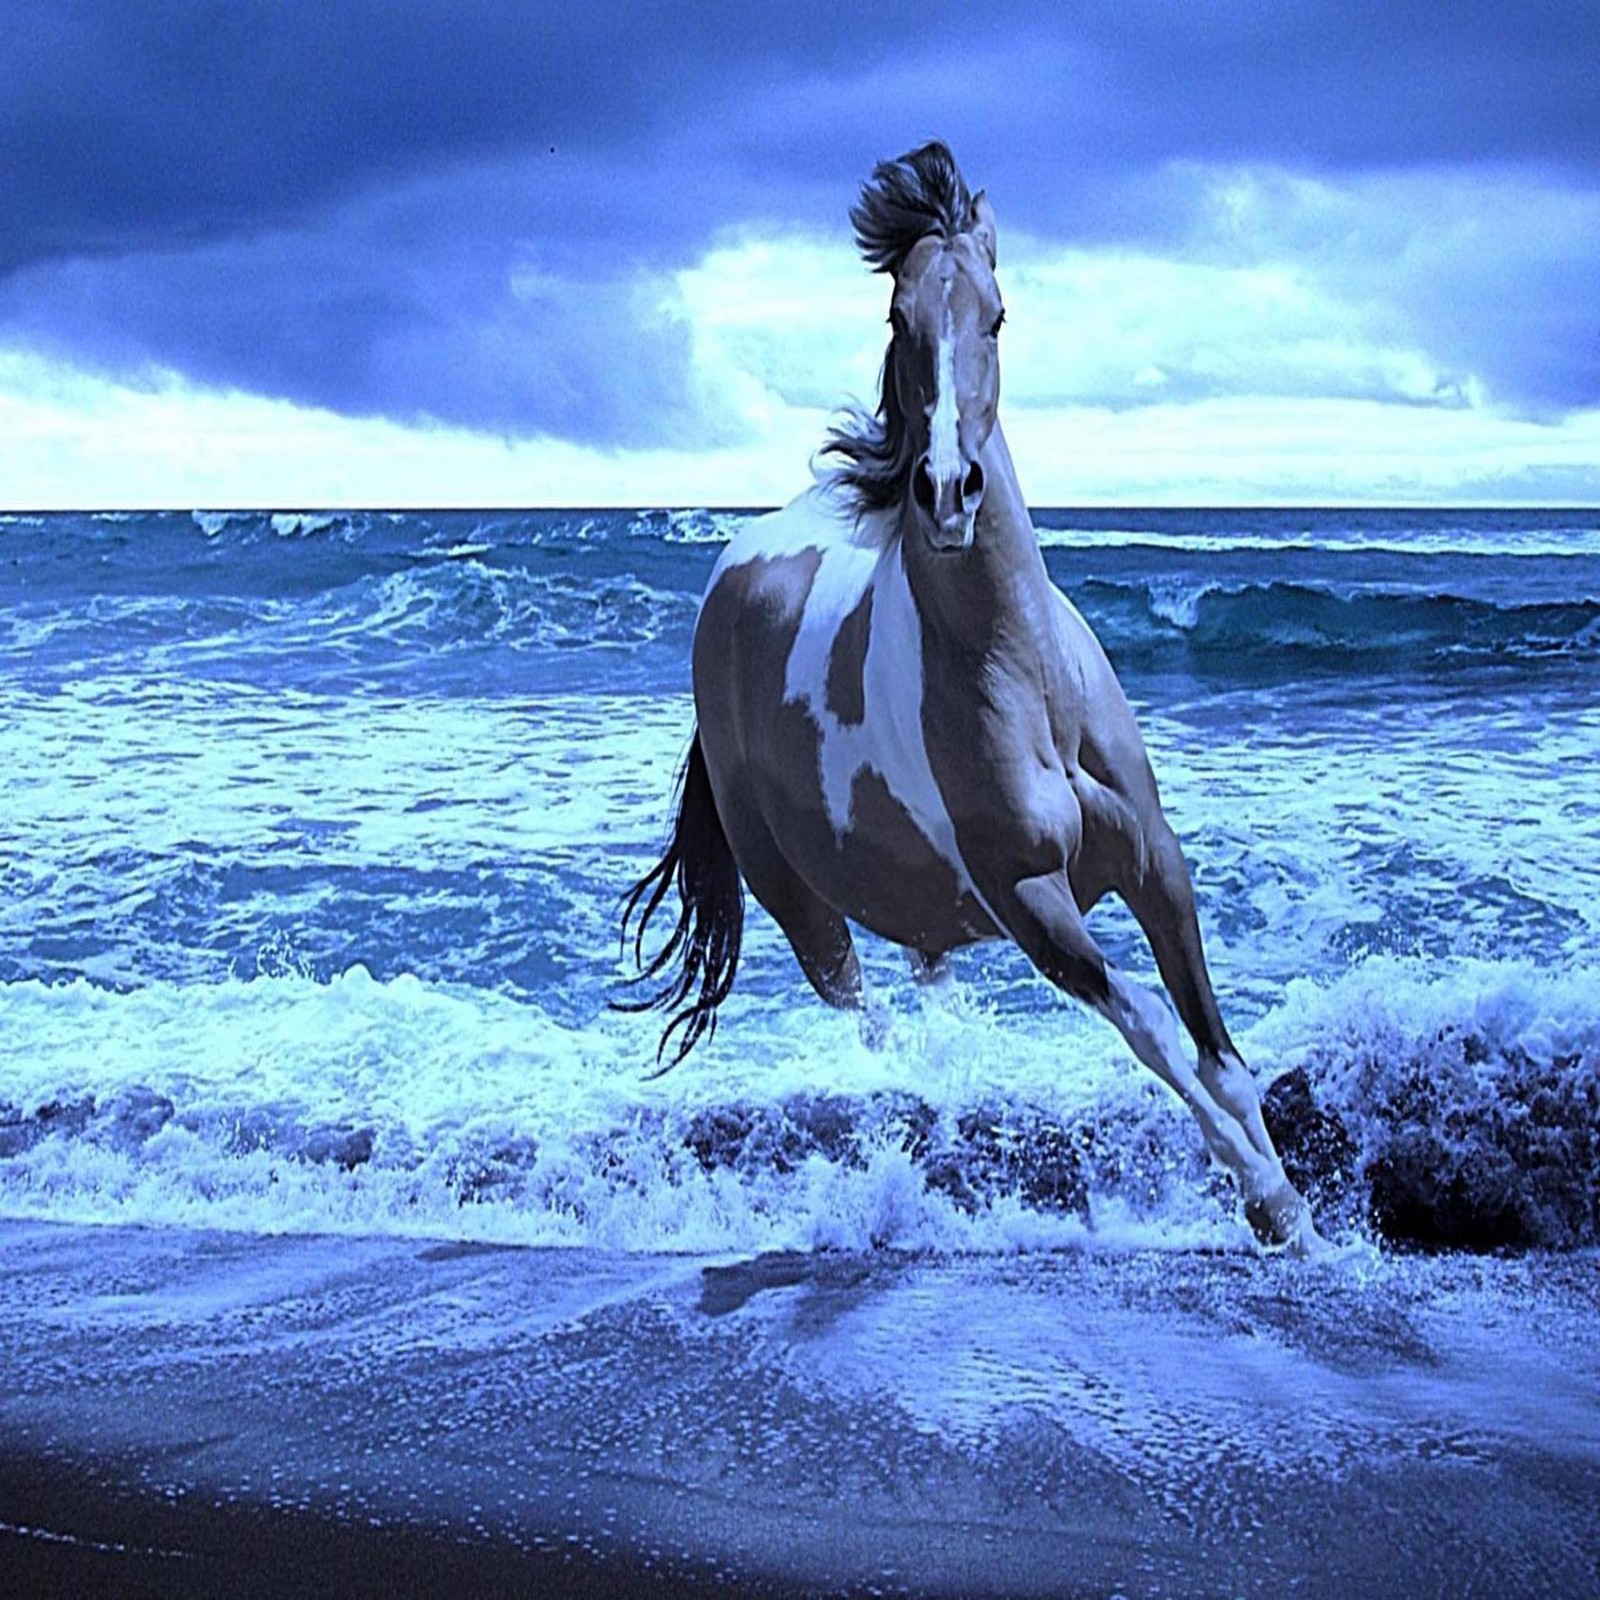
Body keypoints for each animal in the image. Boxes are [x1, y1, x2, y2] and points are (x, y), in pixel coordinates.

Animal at [617, 140, 1318, 1248]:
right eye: (898, 318)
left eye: (997, 314)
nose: (948, 491)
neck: (1022, 680)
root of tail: (730, 576)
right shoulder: (1029, 900)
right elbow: (1152, 1030)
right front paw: (1270, 1200)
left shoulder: (1156, 864)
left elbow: (1219, 1054)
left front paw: (1305, 1214)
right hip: (802, 908)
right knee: (871, 1024)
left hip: (920, 916)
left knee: (927, 1001)